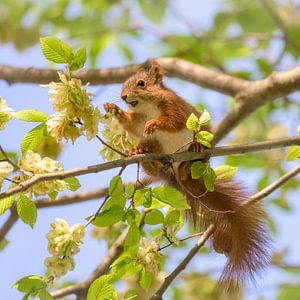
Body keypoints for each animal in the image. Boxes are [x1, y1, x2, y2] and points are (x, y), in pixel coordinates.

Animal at [103, 59, 270, 292]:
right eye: (124, 84)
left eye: (141, 83)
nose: (123, 97)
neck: (148, 108)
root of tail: (177, 172)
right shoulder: (137, 122)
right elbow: (131, 125)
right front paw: (115, 110)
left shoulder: (175, 108)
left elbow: (172, 121)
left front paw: (154, 123)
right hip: (155, 148)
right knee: (152, 160)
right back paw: (141, 155)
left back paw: (196, 150)